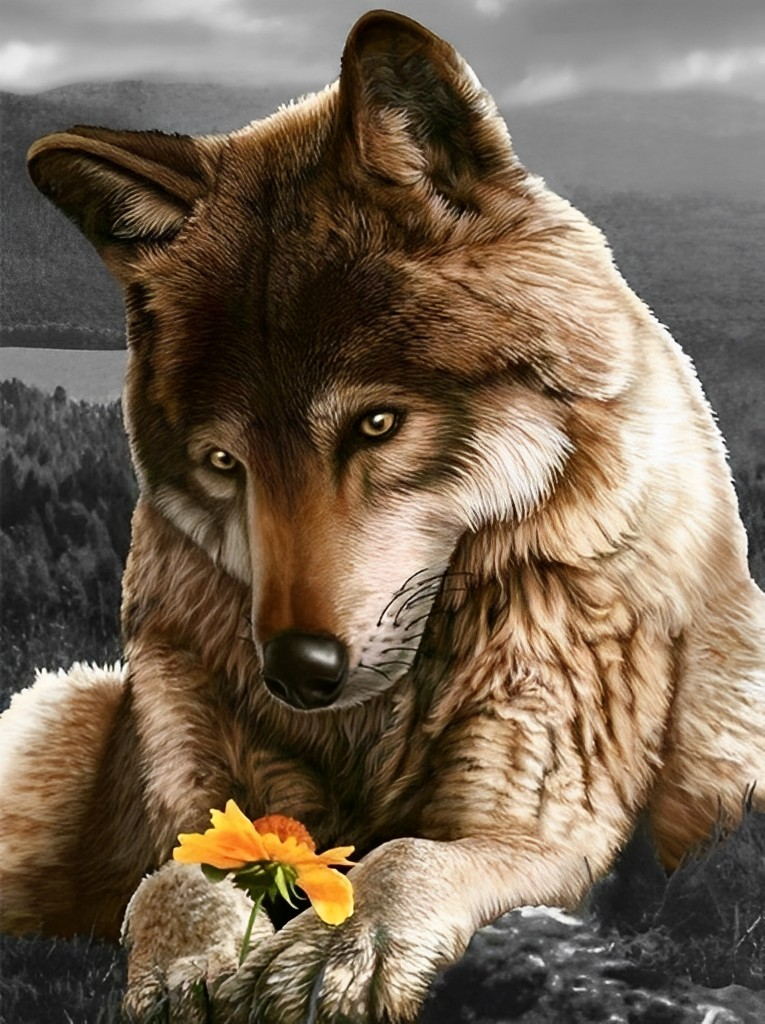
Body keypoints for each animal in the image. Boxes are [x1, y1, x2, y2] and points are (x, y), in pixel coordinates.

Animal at [2, 8, 764, 1023]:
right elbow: (176, 877)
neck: (372, 726)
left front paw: (340, 949)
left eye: (375, 424)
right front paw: (187, 968)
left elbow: (404, 856)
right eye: (224, 463)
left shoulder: (544, 829)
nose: (294, 672)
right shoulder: (195, 801)